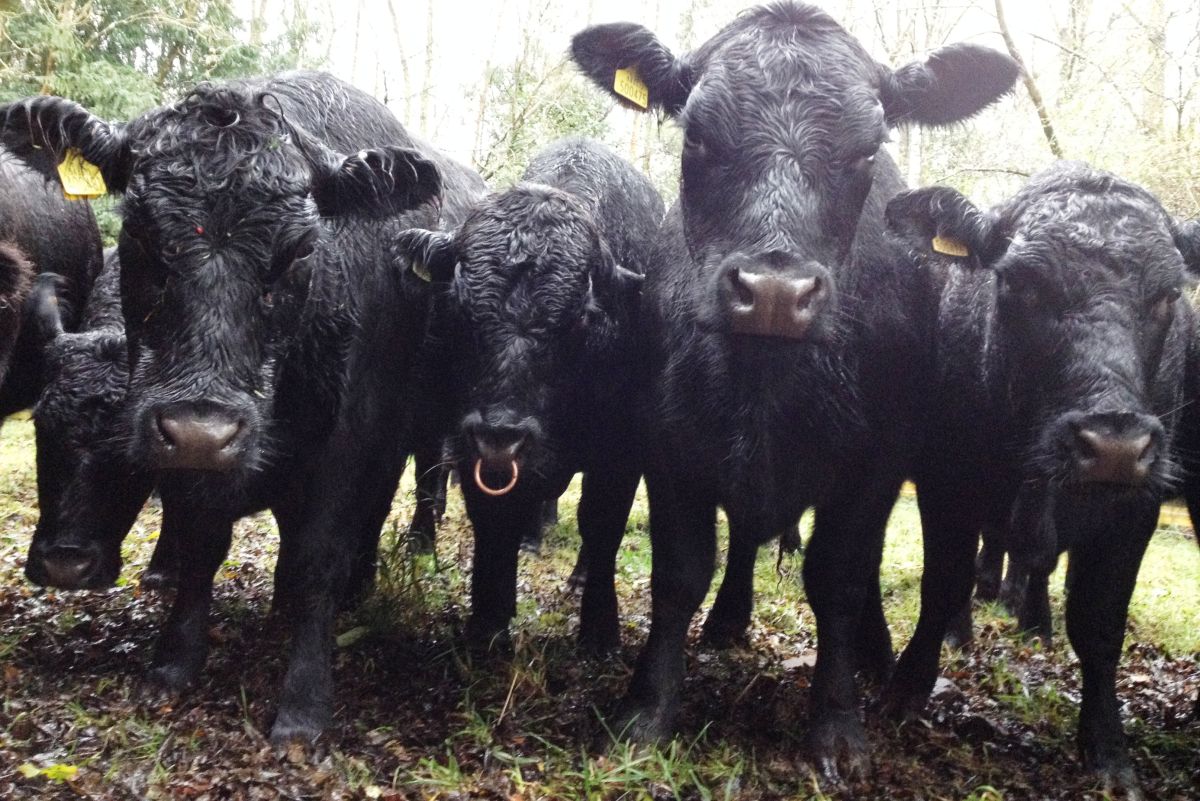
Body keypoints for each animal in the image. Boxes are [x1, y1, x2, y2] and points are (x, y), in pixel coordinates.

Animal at [396, 137, 662, 652]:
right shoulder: (470, 447)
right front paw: (488, 624)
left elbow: (602, 524)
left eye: (580, 319)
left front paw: (600, 630)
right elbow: (493, 521)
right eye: (459, 308)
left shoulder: (622, 453)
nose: (502, 436)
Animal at [568, 0, 1012, 777]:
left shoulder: (877, 461)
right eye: (697, 135)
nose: (775, 292)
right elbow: (680, 571)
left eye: (867, 151)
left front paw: (837, 728)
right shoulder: (668, 442)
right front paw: (646, 711)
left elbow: (838, 577)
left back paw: (874, 656)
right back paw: (728, 621)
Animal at [883, 160, 1200, 786]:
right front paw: (906, 691)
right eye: (1022, 283)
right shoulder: (945, 479)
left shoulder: (1134, 509)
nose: (1114, 444)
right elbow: (943, 583)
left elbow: (1100, 623)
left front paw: (1107, 751)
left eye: (1168, 294)